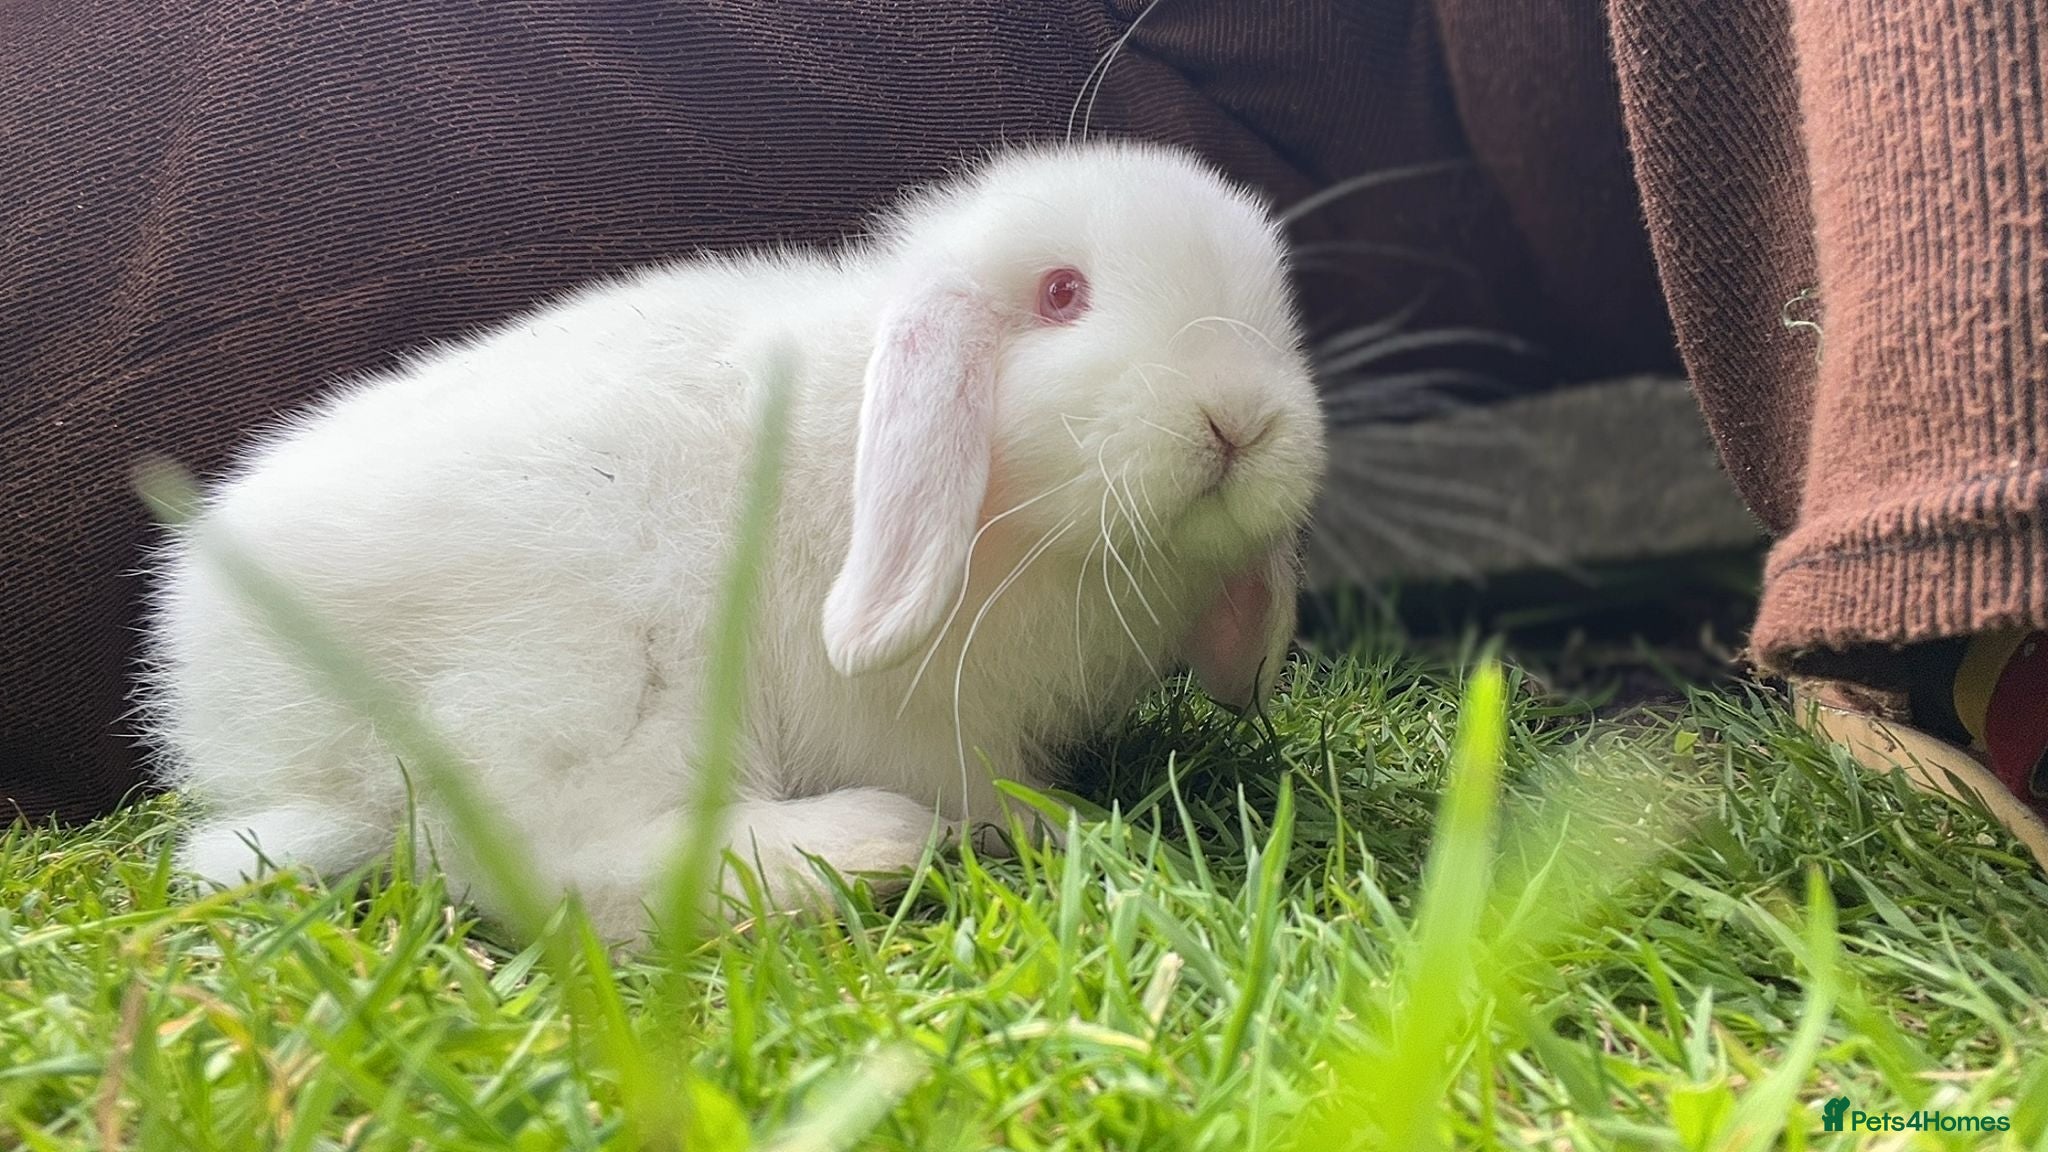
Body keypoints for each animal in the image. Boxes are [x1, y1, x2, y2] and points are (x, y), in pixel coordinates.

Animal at [138, 140, 1327, 941]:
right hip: (592, 676)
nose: (1240, 419)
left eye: (1277, 313)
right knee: (552, 864)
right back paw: (861, 848)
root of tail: (240, 722)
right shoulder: (922, 724)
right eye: (1062, 294)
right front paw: (1079, 830)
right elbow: (984, 794)